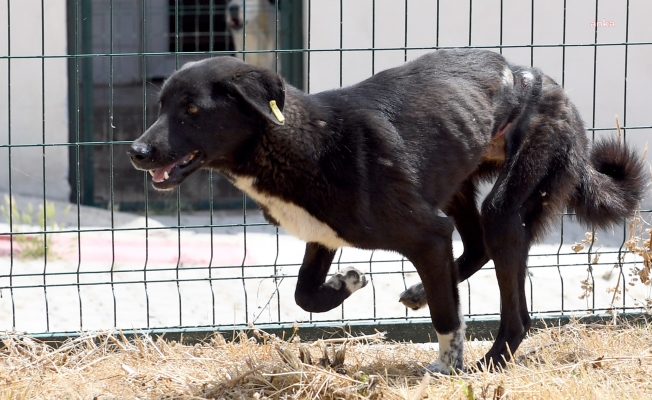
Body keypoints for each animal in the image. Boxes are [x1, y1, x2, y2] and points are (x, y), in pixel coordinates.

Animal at [129, 49, 648, 372]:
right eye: (161, 106)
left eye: (192, 111)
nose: (136, 151)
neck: (301, 142)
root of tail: (541, 79)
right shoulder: (324, 235)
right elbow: (304, 294)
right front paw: (346, 284)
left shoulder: (427, 232)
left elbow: (447, 317)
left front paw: (448, 364)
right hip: (454, 182)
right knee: (474, 246)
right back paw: (421, 292)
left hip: (505, 204)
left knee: (515, 306)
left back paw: (487, 363)